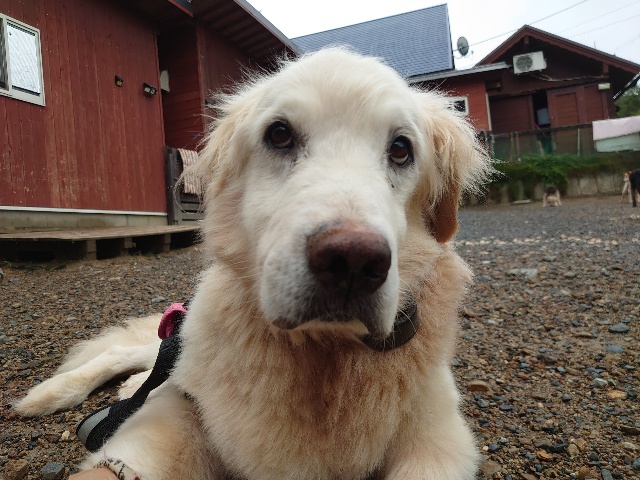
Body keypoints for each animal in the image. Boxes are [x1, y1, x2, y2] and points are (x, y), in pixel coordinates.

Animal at [16, 48, 491, 480]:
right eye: (279, 134)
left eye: (400, 149)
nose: (352, 261)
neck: (325, 354)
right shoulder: (187, 411)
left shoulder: (439, 437)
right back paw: (49, 394)